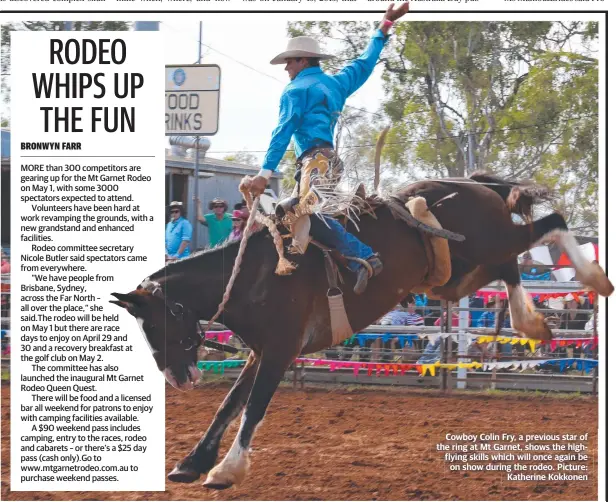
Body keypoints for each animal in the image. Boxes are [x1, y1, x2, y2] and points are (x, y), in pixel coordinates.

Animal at [110, 173, 612, 490]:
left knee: (552, 224)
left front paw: (226, 470)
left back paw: (592, 278)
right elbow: (228, 406)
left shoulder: (280, 350)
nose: (177, 379)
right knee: (511, 265)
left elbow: (251, 408)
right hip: (462, 271)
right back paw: (534, 321)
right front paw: (192, 463)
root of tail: (477, 183)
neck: (258, 275)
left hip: (491, 244)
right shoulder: (258, 352)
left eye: (161, 319)